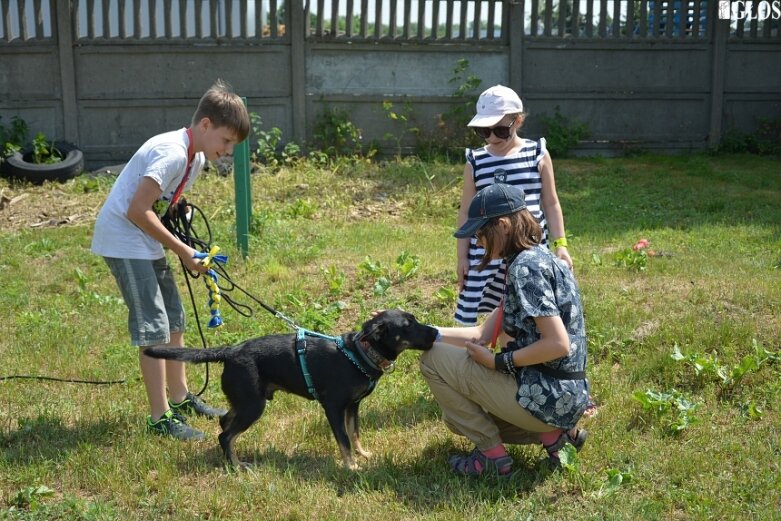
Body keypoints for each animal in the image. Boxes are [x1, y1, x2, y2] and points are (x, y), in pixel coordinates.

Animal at [145, 308, 438, 468]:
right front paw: (351, 466)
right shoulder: (333, 407)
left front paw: (363, 454)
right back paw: (237, 466)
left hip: (244, 401)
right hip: (253, 406)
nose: (436, 332)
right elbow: (343, 439)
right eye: (407, 326)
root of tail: (229, 351)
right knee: (225, 435)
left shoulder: (353, 406)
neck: (359, 353)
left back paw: (230, 459)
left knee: (224, 423)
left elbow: (355, 433)